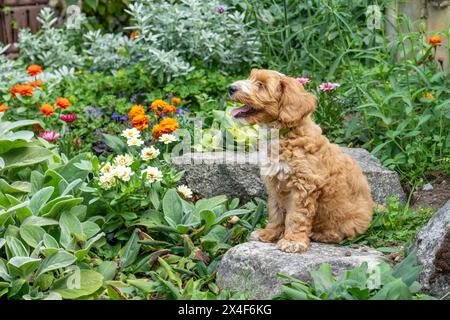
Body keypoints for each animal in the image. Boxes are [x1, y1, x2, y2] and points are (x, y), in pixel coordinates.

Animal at [229, 69, 372, 252]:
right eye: (250, 78)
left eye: (261, 85)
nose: (231, 88)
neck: (284, 133)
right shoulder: (274, 183)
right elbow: (275, 211)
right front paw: (269, 234)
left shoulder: (304, 185)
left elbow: (296, 216)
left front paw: (293, 241)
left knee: (342, 233)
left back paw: (321, 234)